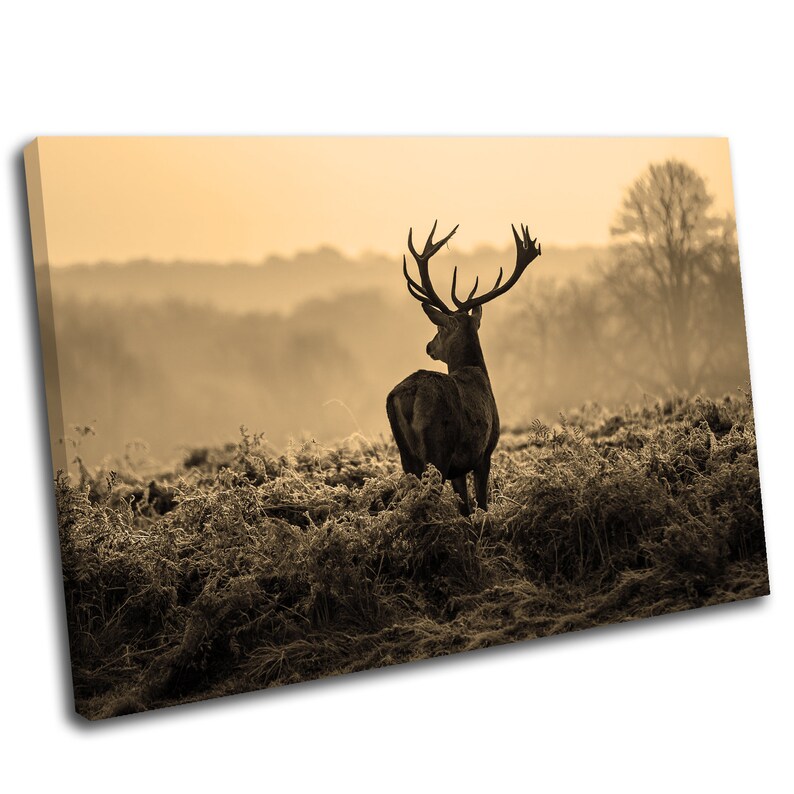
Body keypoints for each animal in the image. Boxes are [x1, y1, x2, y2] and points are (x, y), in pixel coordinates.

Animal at [386, 221, 541, 516]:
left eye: (438, 329)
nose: (429, 346)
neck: (476, 370)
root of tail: (408, 395)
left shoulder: (459, 469)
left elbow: (466, 509)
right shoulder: (484, 452)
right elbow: (481, 504)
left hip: (407, 456)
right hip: (438, 449)